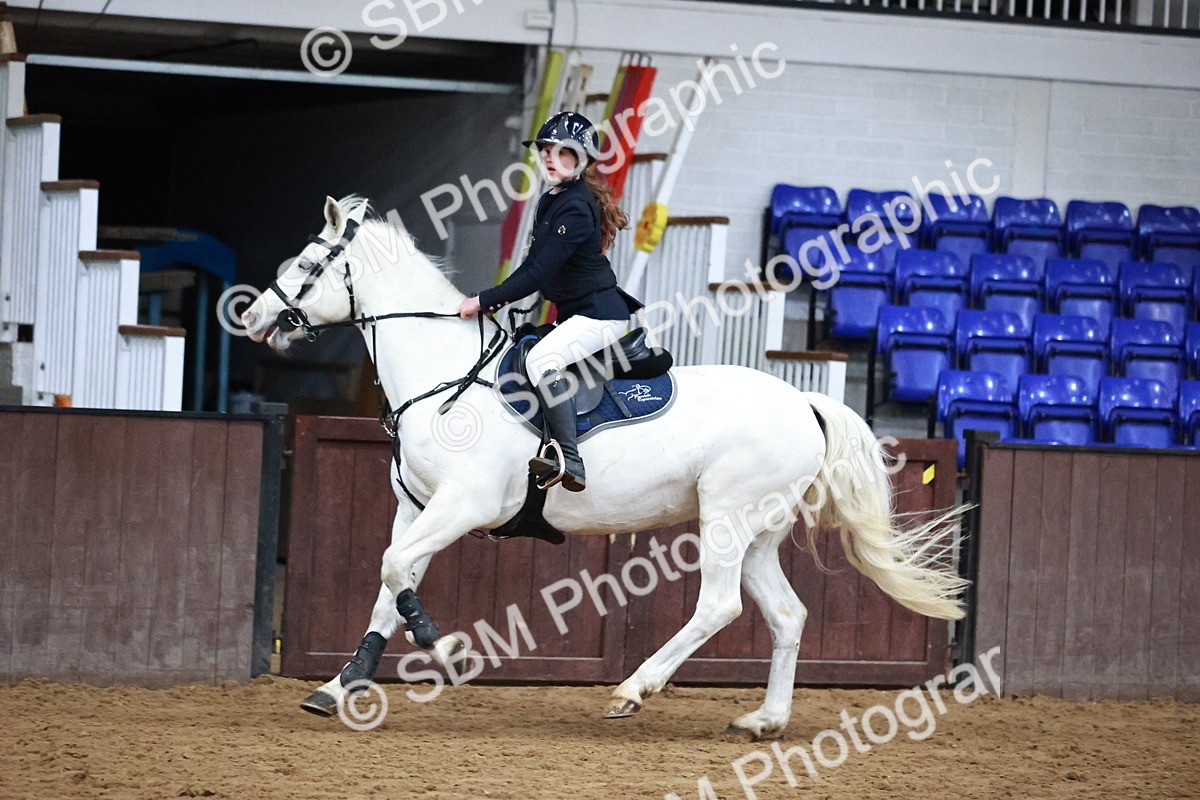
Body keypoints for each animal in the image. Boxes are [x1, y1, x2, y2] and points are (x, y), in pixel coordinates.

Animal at [240, 195, 968, 740]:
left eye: (309, 262)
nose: (250, 315)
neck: (444, 374)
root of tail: (803, 401)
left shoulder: (462, 505)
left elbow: (394, 574)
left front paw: (443, 649)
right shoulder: (414, 507)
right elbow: (389, 584)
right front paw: (339, 686)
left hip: (726, 518)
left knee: (719, 604)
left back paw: (632, 689)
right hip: (760, 530)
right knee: (786, 615)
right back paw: (763, 720)